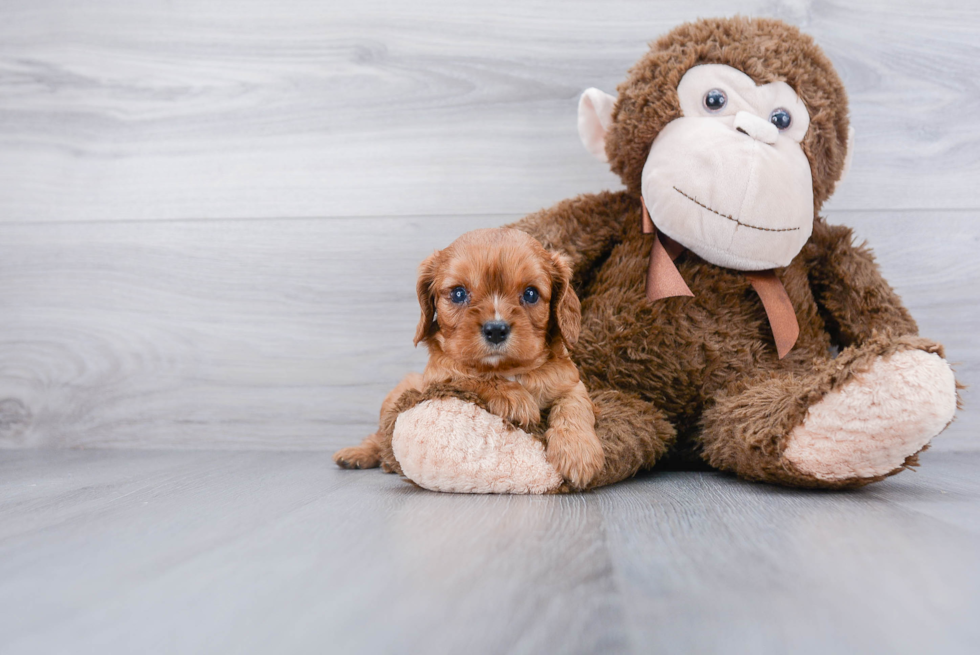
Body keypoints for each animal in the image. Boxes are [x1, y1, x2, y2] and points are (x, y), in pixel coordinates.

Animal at [334, 228, 600, 490]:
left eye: (531, 294)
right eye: (459, 293)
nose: (496, 330)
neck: (507, 369)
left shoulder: (570, 383)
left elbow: (574, 407)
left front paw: (577, 453)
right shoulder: (440, 378)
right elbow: (470, 377)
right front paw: (513, 398)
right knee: (380, 437)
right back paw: (358, 454)